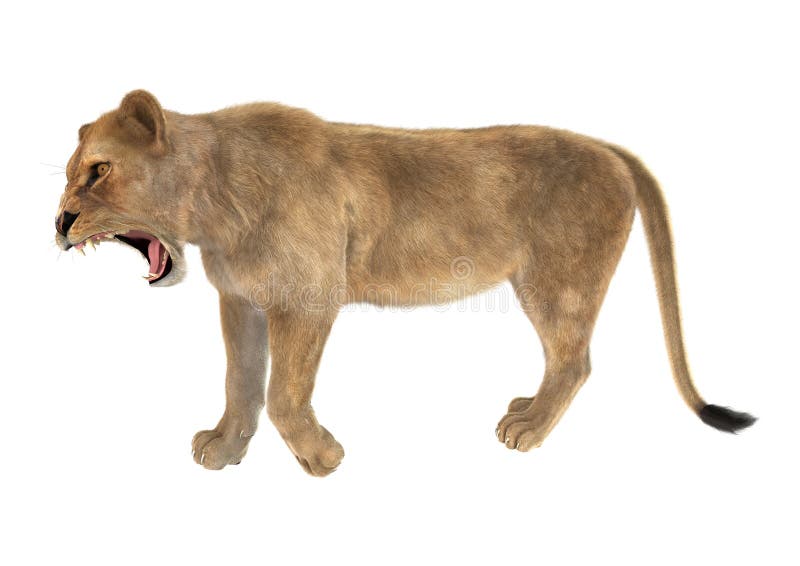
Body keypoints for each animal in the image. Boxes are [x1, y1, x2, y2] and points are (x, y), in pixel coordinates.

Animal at [54, 90, 755, 476]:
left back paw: (527, 430)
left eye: (99, 170)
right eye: (69, 172)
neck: (211, 204)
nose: (59, 222)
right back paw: (524, 409)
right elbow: (240, 382)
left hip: (558, 286)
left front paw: (322, 458)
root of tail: (610, 149)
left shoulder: (308, 299)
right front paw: (225, 450)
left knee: (575, 361)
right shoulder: (241, 301)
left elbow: (282, 393)